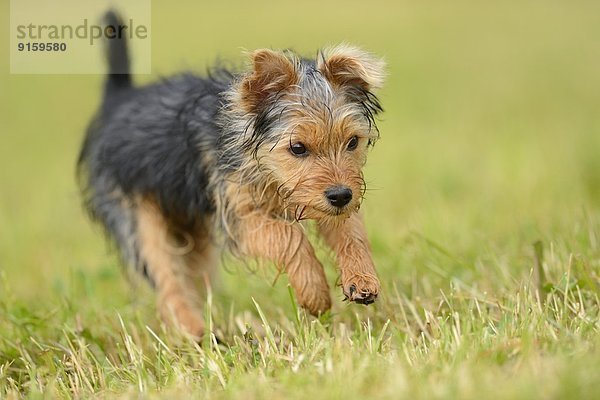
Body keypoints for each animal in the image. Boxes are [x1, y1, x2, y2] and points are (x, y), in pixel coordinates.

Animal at [78, 11, 384, 338]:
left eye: (352, 142)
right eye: (298, 148)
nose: (341, 196)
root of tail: (118, 100)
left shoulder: (327, 198)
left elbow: (351, 232)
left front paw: (362, 278)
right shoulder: (242, 215)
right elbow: (289, 236)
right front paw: (314, 291)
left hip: (190, 229)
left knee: (191, 275)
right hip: (138, 218)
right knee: (167, 279)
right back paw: (192, 328)